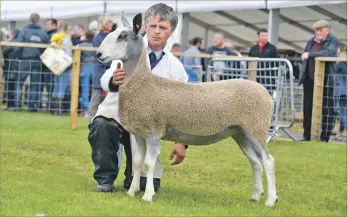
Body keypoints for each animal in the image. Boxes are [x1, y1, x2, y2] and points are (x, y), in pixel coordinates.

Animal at [96, 12, 280, 207]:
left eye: (123, 36)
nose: (99, 54)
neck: (143, 82)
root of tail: (265, 92)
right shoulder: (139, 134)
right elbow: (138, 163)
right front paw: (132, 192)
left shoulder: (153, 131)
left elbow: (148, 164)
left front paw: (147, 196)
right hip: (240, 132)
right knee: (255, 162)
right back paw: (256, 195)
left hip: (256, 128)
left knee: (268, 161)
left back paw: (270, 200)